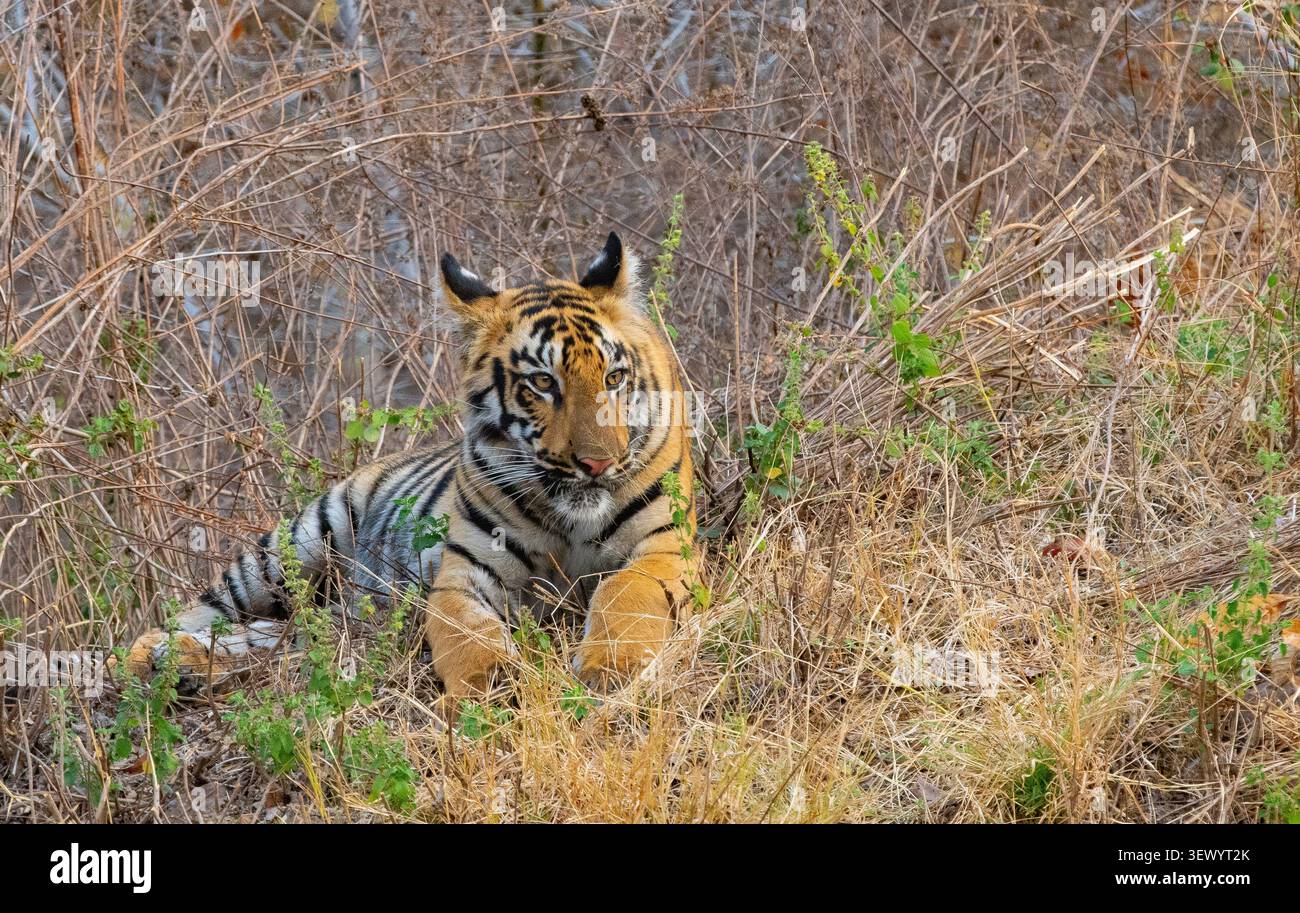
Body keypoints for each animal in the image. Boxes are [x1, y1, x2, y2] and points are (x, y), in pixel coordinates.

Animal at [120, 232, 696, 697]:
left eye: (615, 378)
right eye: (542, 383)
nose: (598, 463)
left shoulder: (665, 547)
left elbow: (627, 592)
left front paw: (612, 667)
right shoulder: (466, 573)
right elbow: (469, 636)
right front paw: (491, 691)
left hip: (332, 611)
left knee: (281, 635)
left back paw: (182, 663)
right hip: (290, 548)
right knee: (203, 614)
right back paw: (142, 659)